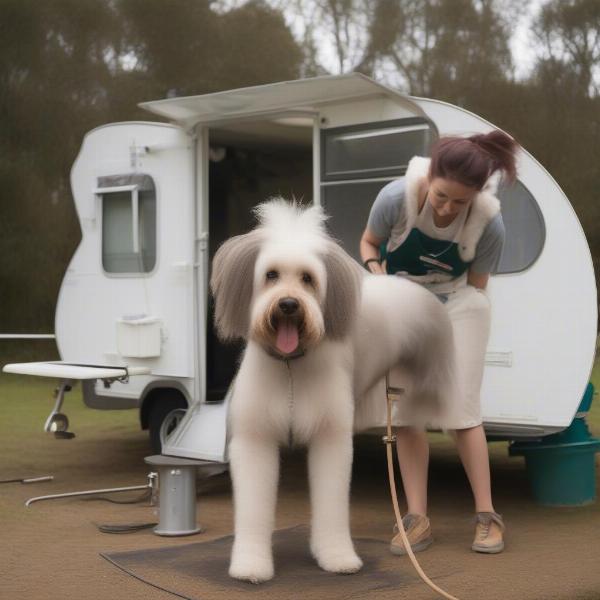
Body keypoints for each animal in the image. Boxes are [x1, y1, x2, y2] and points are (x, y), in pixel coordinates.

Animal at [211, 199, 454, 584]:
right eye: (271, 275)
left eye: (308, 279)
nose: (288, 304)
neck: (291, 367)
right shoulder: (254, 439)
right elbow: (253, 508)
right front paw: (250, 565)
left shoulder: (331, 437)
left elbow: (331, 505)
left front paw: (338, 558)